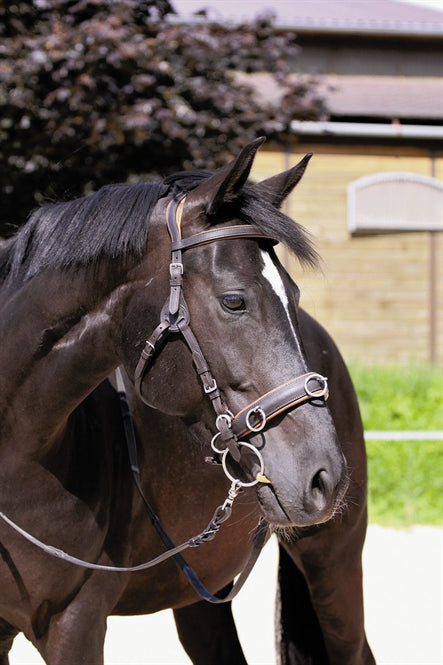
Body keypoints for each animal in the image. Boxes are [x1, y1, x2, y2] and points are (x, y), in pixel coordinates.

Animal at [0, 137, 374, 660]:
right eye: (234, 300)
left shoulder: (75, 623)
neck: (18, 461)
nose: (325, 476)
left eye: (294, 294)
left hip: (333, 559)